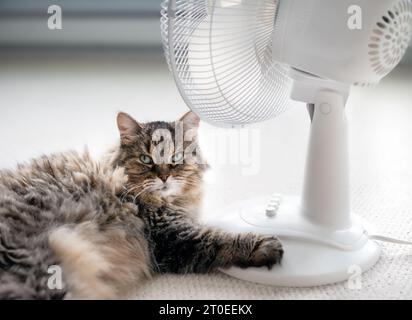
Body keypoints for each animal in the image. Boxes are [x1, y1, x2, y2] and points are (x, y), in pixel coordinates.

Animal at [0, 111, 284, 298]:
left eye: (176, 158)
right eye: (146, 159)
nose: (164, 176)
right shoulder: (173, 236)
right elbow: (222, 238)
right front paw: (266, 246)